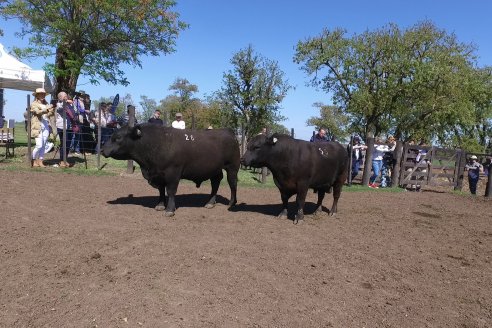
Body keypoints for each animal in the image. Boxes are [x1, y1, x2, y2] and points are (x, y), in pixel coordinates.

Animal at [101, 124, 239, 217]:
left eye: (118, 137)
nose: (102, 150)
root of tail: (228, 131)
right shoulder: (159, 175)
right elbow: (161, 191)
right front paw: (160, 205)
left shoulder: (173, 174)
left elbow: (171, 191)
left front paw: (169, 210)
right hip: (215, 169)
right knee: (215, 183)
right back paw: (210, 203)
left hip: (232, 167)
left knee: (232, 183)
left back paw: (232, 203)